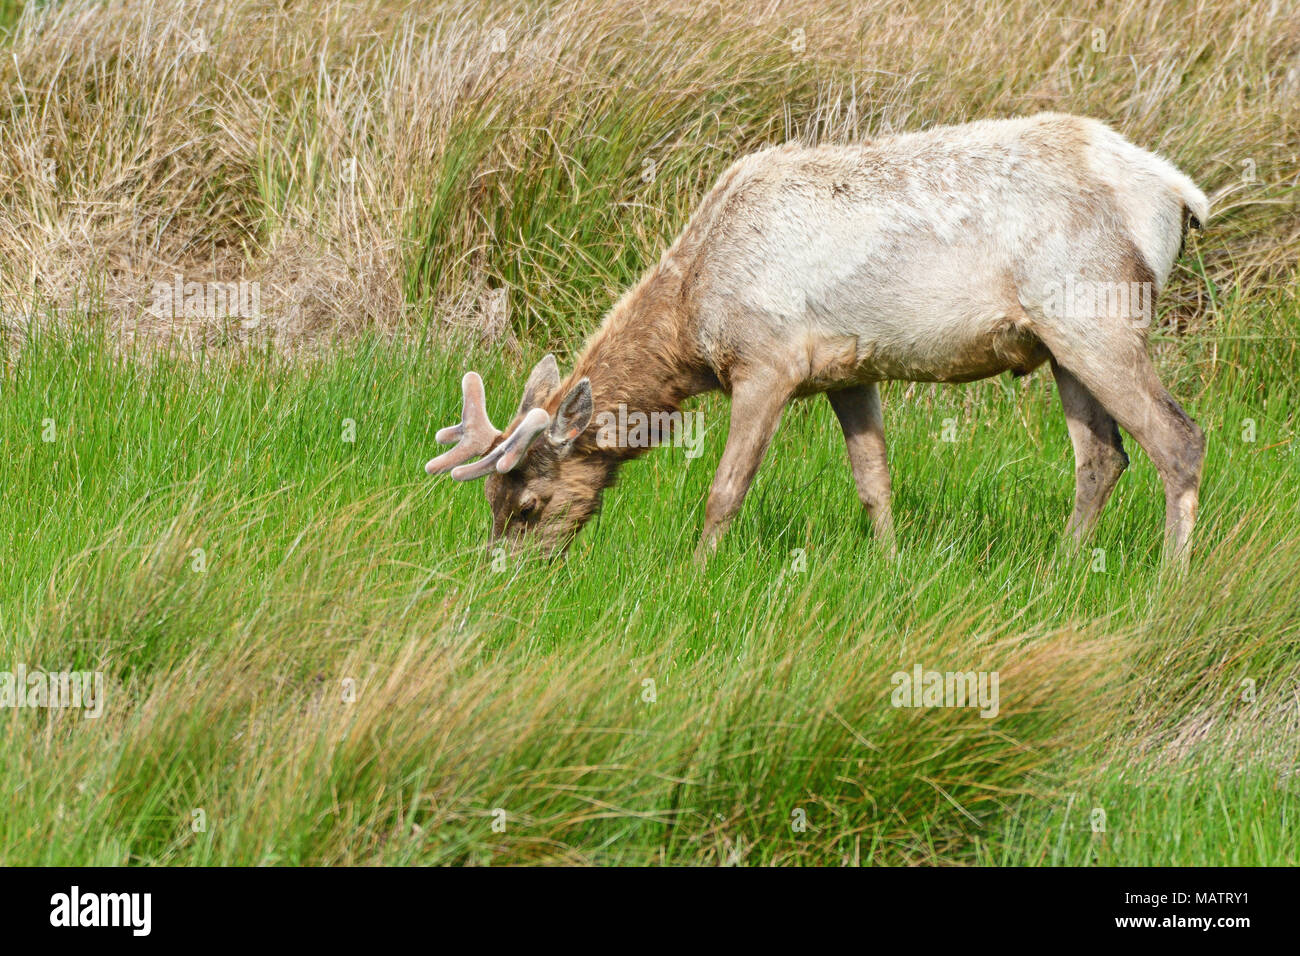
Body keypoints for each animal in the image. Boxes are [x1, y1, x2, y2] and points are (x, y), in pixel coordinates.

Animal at [426, 117, 1206, 567]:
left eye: (528, 504)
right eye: (490, 503)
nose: (501, 578)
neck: (692, 320)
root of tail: (1181, 196)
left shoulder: (767, 360)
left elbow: (725, 489)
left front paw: (696, 573)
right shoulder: (849, 370)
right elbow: (874, 482)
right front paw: (890, 567)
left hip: (1097, 313)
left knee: (1179, 439)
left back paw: (1171, 580)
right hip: (1061, 342)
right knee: (1103, 456)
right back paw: (1065, 566)